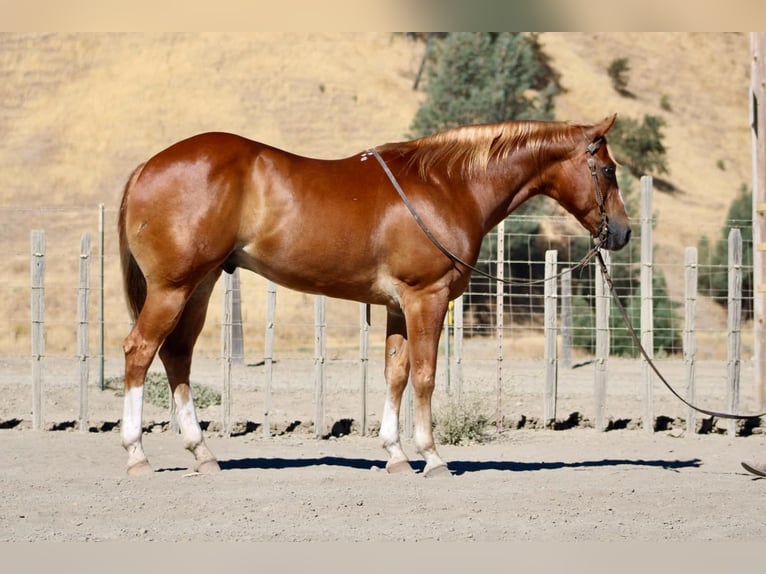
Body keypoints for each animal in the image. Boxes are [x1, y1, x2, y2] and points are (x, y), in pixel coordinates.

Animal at [118, 114, 631, 477]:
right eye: (608, 169)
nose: (623, 233)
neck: (448, 186)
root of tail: (146, 166)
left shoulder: (398, 307)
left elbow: (396, 374)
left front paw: (395, 455)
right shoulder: (427, 298)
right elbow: (424, 375)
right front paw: (433, 457)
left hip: (199, 286)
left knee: (177, 356)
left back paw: (202, 453)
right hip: (173, 288)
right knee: (140, 351)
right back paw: (136, 455)